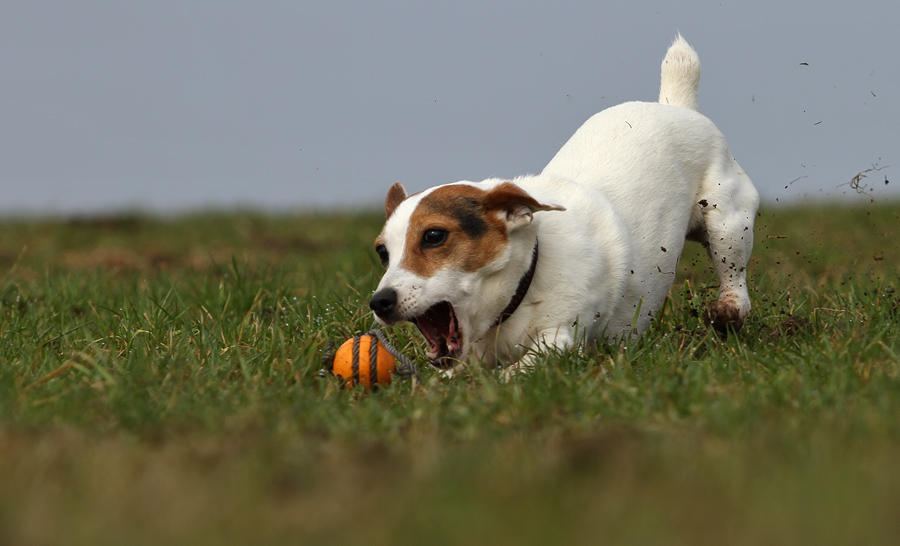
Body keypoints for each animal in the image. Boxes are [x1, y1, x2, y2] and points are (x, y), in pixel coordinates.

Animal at [368, 35, 760, 370]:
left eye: (434, 236)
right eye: (382, 252)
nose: (379, 302)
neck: (523, 284)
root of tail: (675, 105)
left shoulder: (560, 339)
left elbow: (519, 370)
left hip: (727, 222)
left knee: (734, 275)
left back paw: (728, 308)